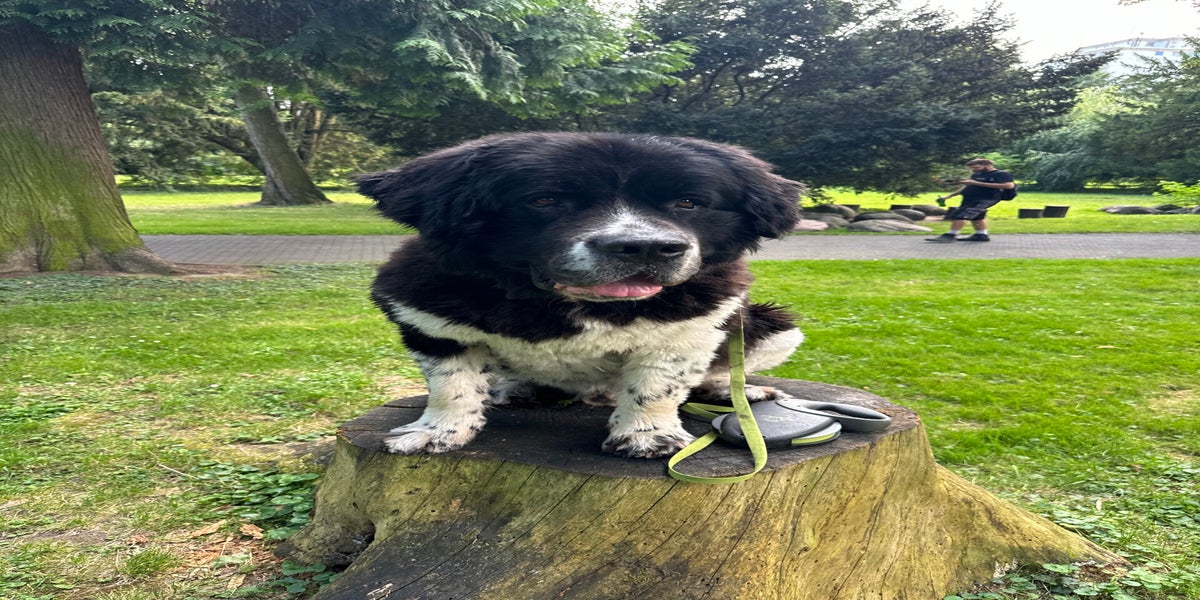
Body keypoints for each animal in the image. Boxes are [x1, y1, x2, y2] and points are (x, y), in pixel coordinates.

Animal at [358, 132, 805, 459]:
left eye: (688, 202)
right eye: (544, 199)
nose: (644, 246)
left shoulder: (689, 332)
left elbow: (656, 387)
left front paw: (647, 435)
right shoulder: (432, 325)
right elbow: (451, 388)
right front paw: (435, 433)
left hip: (772, 325)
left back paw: (732, 391)